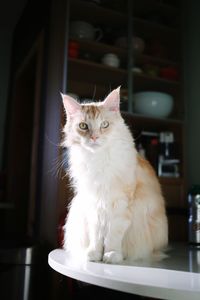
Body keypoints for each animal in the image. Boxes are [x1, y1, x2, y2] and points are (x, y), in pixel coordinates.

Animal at [61, 87, 168, 264]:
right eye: (83, 126)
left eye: (104, 125)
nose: (94, 137)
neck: (98, 159)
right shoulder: (94, 204)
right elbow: (96, 235)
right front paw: (94, 255)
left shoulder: (120, 204)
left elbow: (113, 236)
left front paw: (111, 255)